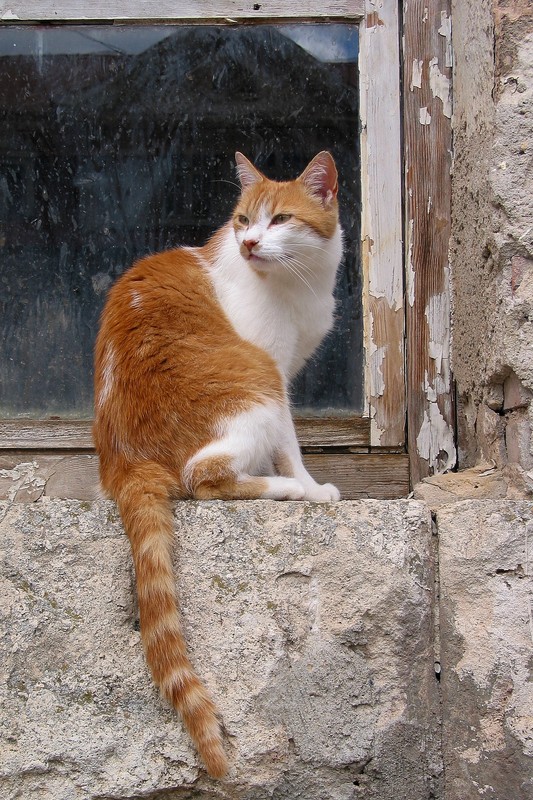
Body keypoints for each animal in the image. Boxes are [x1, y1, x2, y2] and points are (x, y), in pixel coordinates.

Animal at [93, 150, 342, 776]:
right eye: (242, 220)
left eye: (279, 219)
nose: (249, 242)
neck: (299, 284)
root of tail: (122, 461)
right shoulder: (278, 375)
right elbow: (291, 446)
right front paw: (308, 485)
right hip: (253, 385)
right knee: (203, 479)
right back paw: (284, 490)